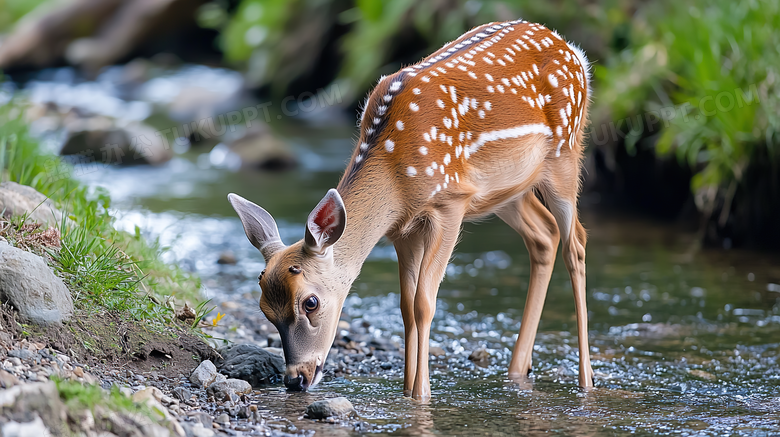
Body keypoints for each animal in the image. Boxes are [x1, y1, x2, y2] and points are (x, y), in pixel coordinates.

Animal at [229, 19, 596, 398]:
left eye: (310, 302)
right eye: (265, 310)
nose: (296, 379)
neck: (396, 176)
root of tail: (575, 53)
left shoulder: (450, 202)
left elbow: (424, 302)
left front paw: (422, 396)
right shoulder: (401, 228)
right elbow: (406, 306)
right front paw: (408, 391)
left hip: (565, 154)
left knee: (576, 244)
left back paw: (586, 381)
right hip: (508, 189)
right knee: (544, 235)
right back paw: (518, 371)